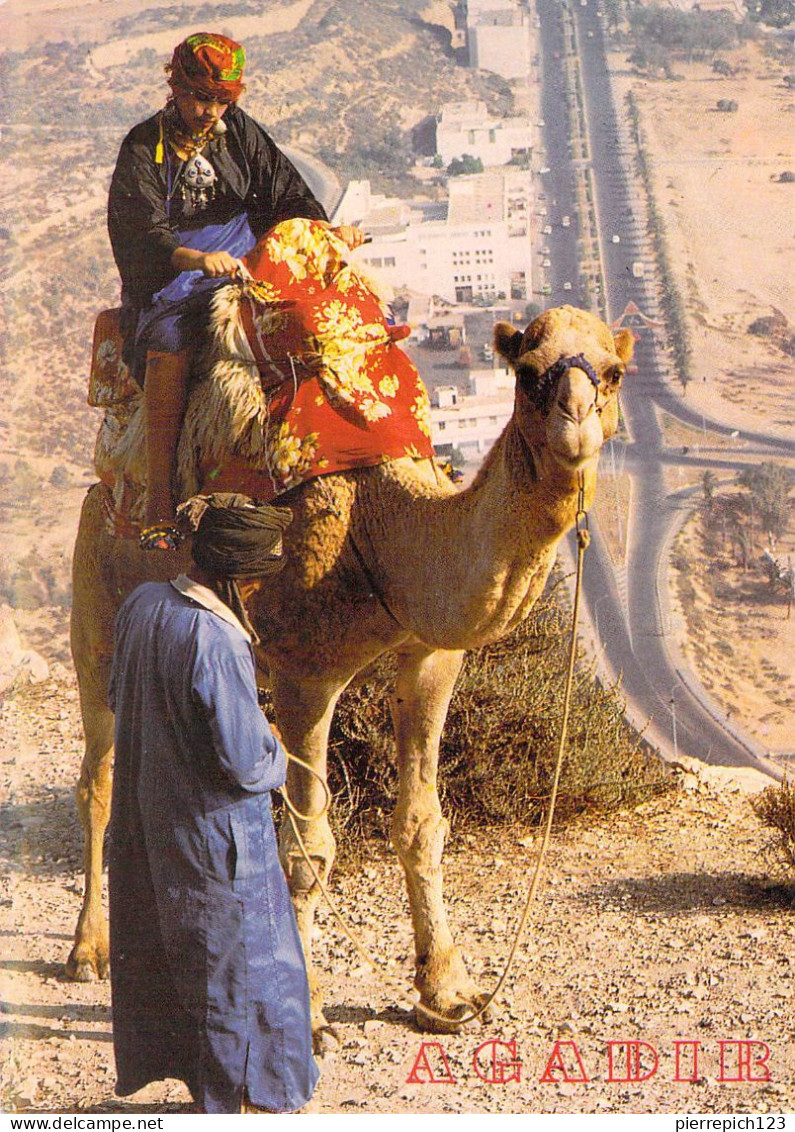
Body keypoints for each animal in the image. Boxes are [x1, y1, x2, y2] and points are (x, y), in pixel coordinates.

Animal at [65, 303, 634, 1041]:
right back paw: (89, 950)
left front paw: (447, 990)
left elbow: (421, 823)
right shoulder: (309, 674)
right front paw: (306, 1016)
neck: (383, 526)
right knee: (99, 781)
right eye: (529, 372)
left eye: (614, 372)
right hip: (94, 609)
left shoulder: (430, 658)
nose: (575, 425)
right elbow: (310, 848)